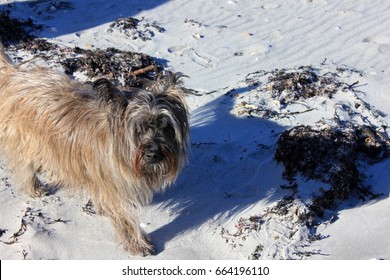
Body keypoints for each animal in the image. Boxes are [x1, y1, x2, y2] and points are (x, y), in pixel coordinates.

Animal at [0, 44, 190, 256]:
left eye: (165, 126)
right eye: (139, 129)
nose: (154, 154)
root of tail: (15, 74)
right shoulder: (114, 186)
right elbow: (124, 218)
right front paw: (137, 243)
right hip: (24, 138)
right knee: (24, 164)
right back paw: (33, 186)